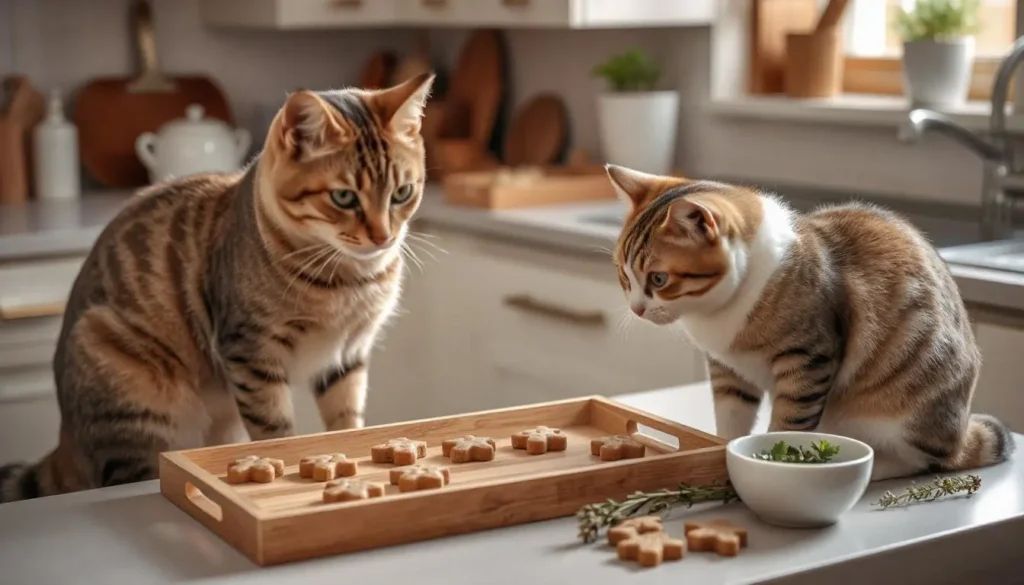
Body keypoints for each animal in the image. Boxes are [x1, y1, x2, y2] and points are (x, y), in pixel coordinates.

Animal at [0, 73, 436, 504]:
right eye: (343, 197)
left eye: (402, 193)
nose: (383, 237)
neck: (348, 278)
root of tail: (66, 441)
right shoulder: (250, 352)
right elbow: (274, 428)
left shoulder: (347, 356)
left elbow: (347, 421)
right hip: (133, 409)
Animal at [606, 163, 1015, 481]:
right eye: (624, 276)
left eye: (659, 279)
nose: (637, 308)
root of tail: (960, 435)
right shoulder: (727, 370)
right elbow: (731, 416)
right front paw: (723, 450)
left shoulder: (808, 359)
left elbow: (789, 424)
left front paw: (773, 463)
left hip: (902, 405)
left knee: (925, 461)